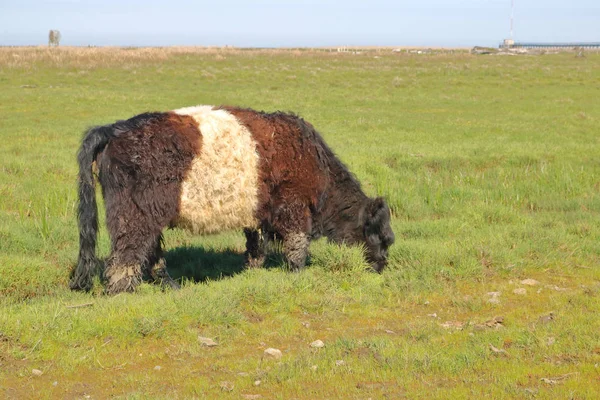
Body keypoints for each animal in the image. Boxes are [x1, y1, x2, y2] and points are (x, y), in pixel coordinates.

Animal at [70, 106, 396, 294]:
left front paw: (253, 270)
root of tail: (114, 129)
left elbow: (256, 246)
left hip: (149, 215)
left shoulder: (256, 214)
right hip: (134, 214)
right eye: (383, 238)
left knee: (150, 251)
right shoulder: (294, 207)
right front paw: (298, 274)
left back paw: (170, 286)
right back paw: (125, 292)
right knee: (126, 255)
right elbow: (297, 246)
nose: (382, 269)